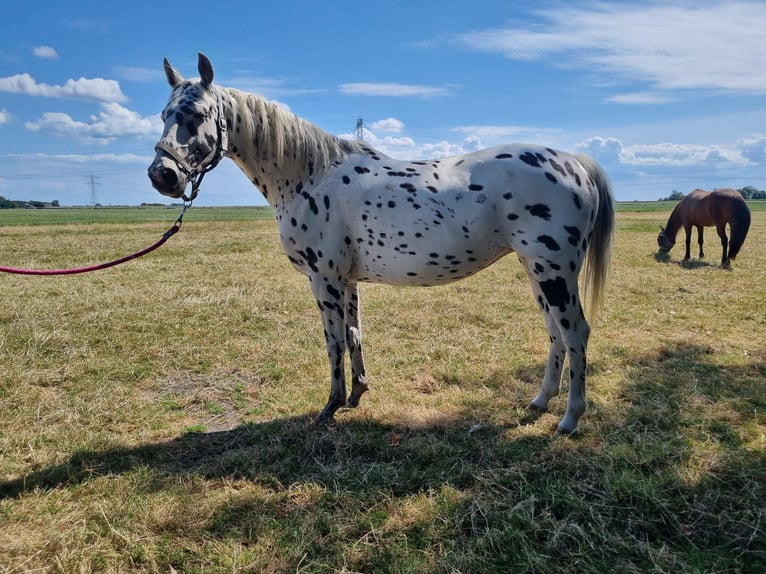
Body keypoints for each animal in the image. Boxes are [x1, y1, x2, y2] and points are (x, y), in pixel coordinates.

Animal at [147, 53, 615, 434]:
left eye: (197, 114)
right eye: (164, 114)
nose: (162, 175)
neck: (309, 174)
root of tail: (575, 162)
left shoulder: (324, 278)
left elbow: (334, 341)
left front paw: (329, 408)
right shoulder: (347, 281)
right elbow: (355, 335)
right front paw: (356, 395)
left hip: (553, 270)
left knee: (576, 332)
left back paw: (570, 418)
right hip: (535, 270)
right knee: (555, 334)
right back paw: (540, 402)